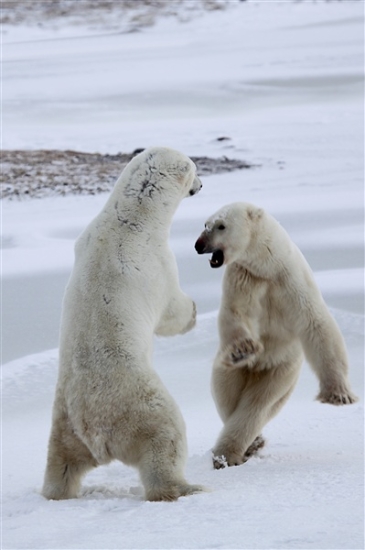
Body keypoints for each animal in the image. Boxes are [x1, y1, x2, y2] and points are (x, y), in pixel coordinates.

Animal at [42, 148, 205, 504]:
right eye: (194, 169)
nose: (201, 184)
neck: (129, 218)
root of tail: (95, 432)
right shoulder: (157, 261)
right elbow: (170, 309)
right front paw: (193, 311)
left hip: (64, 420)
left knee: (61, 461)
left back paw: (55, 491)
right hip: (139, 405)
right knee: (166, 436)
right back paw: (185, 487)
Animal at [195, 203, 356, 470]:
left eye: (221, 226)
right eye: (205, 224)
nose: (198, 245)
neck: (267, 266)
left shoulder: (290, 281)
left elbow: (316, 323)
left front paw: (339, 394)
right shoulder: (243, 278)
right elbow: (234, 313)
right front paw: (243, 349)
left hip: (281, 371)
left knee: (259, 404)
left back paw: (234, 451)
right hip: (229, 370)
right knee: (227, 395)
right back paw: (239, 449)